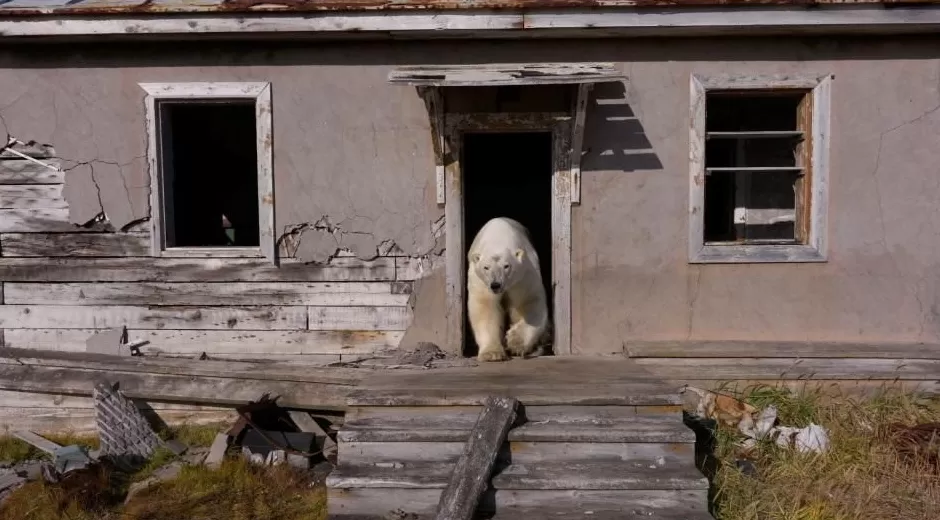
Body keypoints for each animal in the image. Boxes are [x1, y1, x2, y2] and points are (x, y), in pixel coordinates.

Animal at [466, 217, 550, 362]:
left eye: (506, 266)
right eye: (486, 267)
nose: (496, 284)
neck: (499, 238)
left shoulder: (524, 275)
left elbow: (529, 301)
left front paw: (515, 342)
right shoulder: (481, 281)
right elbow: (486, 307)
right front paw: (491, 354)